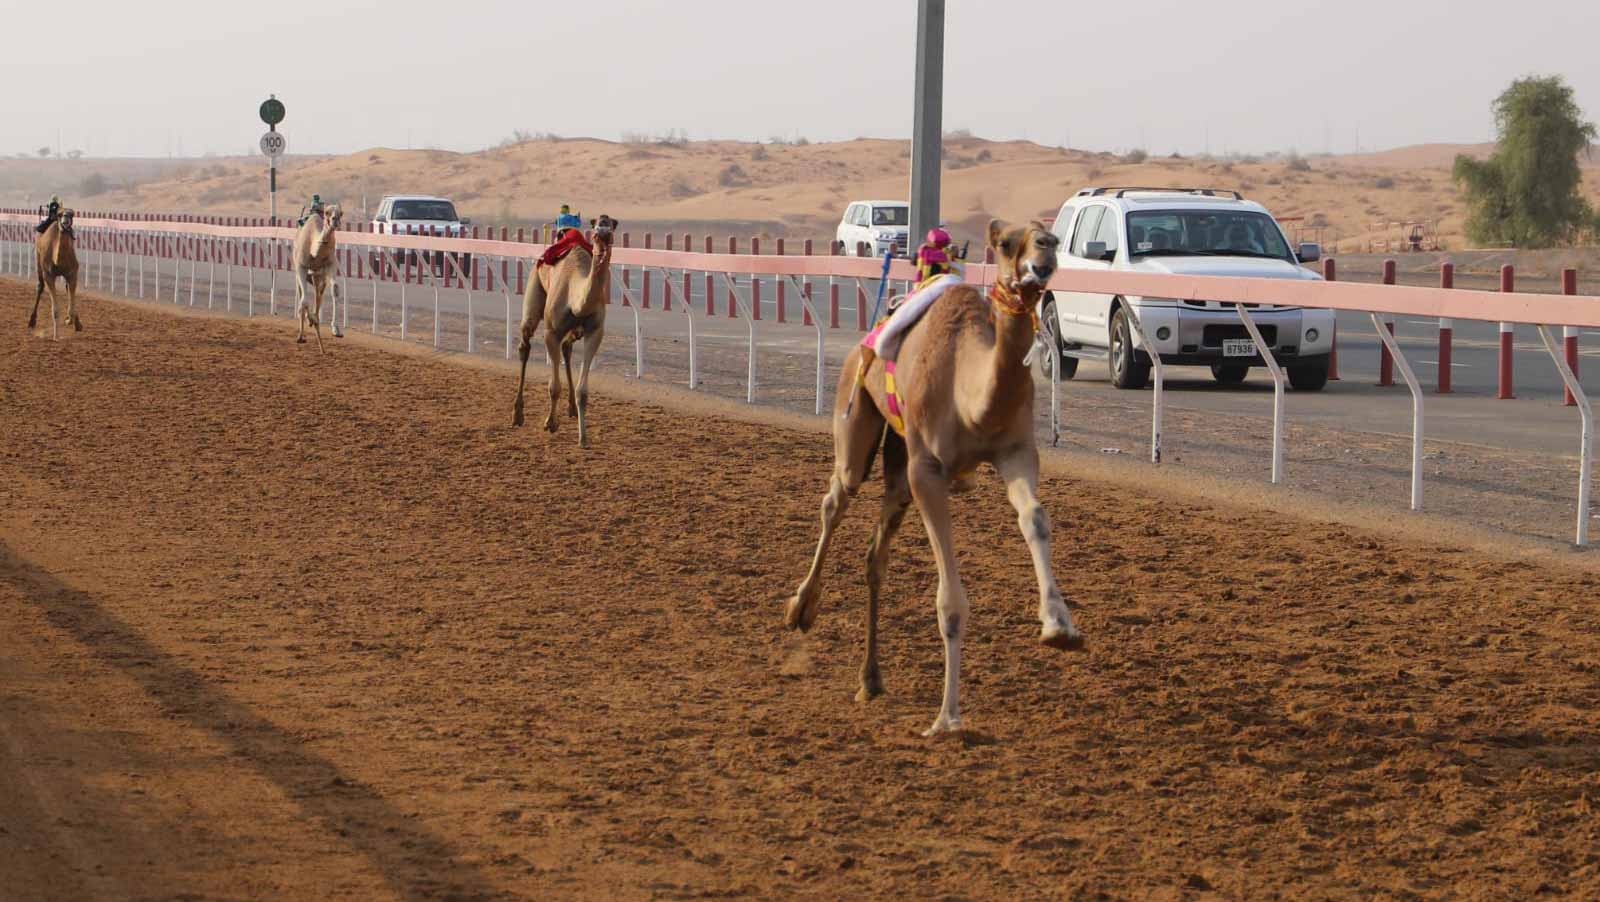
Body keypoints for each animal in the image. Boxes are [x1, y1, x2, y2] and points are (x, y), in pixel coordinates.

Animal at [28, 211, 81, 339]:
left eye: (72, 214)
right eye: (60, 215)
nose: (65, 219)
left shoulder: (73, 273)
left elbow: (71, 307)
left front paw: (70, 320)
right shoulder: (49, 275)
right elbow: (55, 310)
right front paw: (56, 336)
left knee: (67, 288)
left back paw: (77, 323)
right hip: (38, 259)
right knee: (40, 286)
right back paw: (32, 321)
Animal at [292, 204, 345, 351]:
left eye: (341, 213)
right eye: (327, 212)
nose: (335, 220)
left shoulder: (331, 265)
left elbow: (335, 289)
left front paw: (336, 329)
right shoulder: (301, 267)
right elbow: (304, 301)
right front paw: (310, 321)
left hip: (319, 277)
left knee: (318, 296)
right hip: (300, 273)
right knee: (302, 297)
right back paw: (301, 335)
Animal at [512, 214, 617, 447]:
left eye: (611, 229)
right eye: (596, 232)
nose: (603, 233)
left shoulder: (595, 331)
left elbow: (583, 391)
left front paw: (583, 439)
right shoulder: (551, 332)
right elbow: (554, 386)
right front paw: (550, 423)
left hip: (576, 331)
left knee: (567, 348)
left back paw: (571, 410)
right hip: (534, 289)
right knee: (525, 343)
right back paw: (517, 415)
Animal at [780, 215, 1081, 732]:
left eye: (1054, 238)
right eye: (1006, 243)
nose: (1043, 255)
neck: (970, 394)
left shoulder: (1017, 452)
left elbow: (1036, 519)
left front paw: (1058, 625)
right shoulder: (928, 472)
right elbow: (949, 599)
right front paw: (948, 718)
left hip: (899, 468)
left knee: (875, 556)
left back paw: (870, 680)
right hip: (856, 417)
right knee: (836, 499)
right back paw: (801, 608)